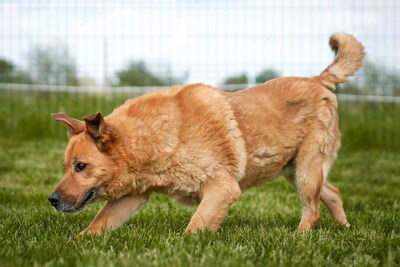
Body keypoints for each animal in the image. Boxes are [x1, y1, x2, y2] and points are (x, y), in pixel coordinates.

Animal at [48, 33, 364, 234]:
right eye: (65, 167)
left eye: (81, 166)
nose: (51, 200)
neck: (156, 139)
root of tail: (318, 80)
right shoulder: (131, 197)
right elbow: (96, 226)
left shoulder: (222, 189)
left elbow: (193, 230)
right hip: (294, 170)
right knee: (332, 194)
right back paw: (344, 229)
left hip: (306, 169)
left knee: (312, 210)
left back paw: (300, 238)